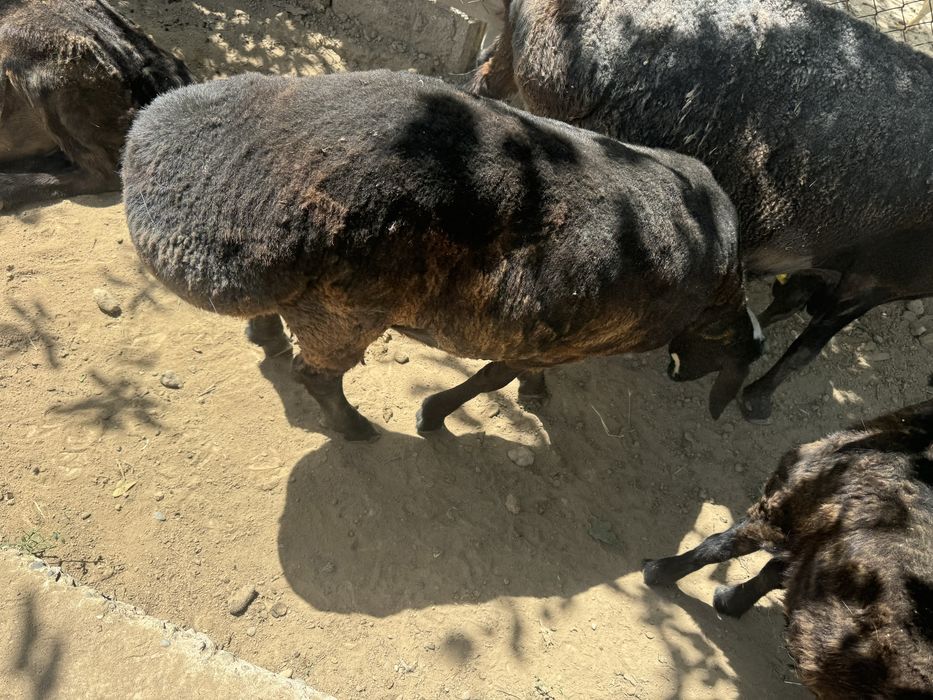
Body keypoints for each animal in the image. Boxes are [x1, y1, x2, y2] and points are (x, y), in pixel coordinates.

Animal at [122, 70, 763, 440]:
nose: (679, 374)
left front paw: (525, 396)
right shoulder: (565, 340)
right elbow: (493, 375)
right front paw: (436, 413)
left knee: (275, 327)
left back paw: (266, 335)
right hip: (344, 312)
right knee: (316, 375)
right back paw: (354, 428)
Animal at [468, 0, 933, 423]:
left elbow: (788, 303)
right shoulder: (874, 278)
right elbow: (807, 348)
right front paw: (757, 399)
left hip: (510, 67)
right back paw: (531, 382)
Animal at [643, 399, 933, 697]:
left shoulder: (786, 504)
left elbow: (719, 546)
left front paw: (659, 570)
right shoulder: (817, 542)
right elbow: (775, 572)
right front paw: (730, 601)